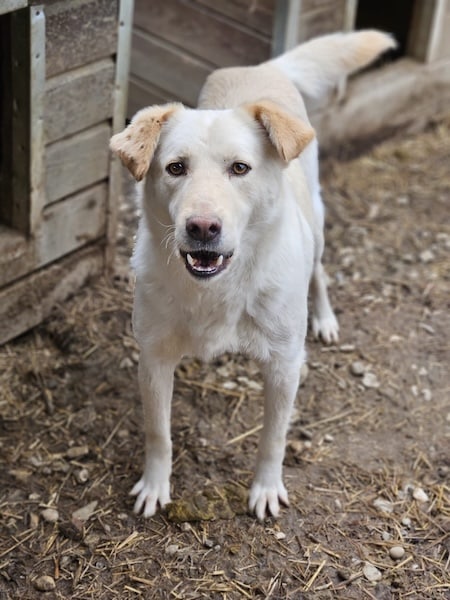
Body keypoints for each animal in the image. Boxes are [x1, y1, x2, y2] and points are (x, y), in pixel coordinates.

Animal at [110, 30, 395, 520]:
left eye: (239, 168)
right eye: (175, 167)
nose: (202, 227)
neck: (219, 288)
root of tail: (263, 68)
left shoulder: (282, 366)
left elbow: (273, 438)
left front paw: (265, 488)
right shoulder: (154, 358)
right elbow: (158, 433)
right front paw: (155, 485)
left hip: (317, 224)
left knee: (319, 272)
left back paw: (324, 318)